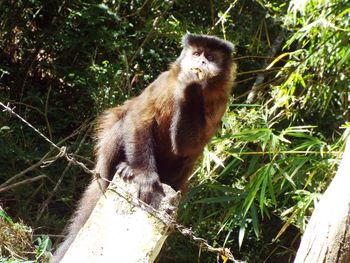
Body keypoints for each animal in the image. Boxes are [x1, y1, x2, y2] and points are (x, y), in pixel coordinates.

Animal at [52, 33, 237, 262]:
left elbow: (188, 147)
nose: (201, 63)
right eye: (196, 54)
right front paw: (144, 175)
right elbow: (140, 119)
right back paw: (124, 168)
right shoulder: (164, 81)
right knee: (123, 122)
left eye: (210, 57)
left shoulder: (221, 102)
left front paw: (191, 88)